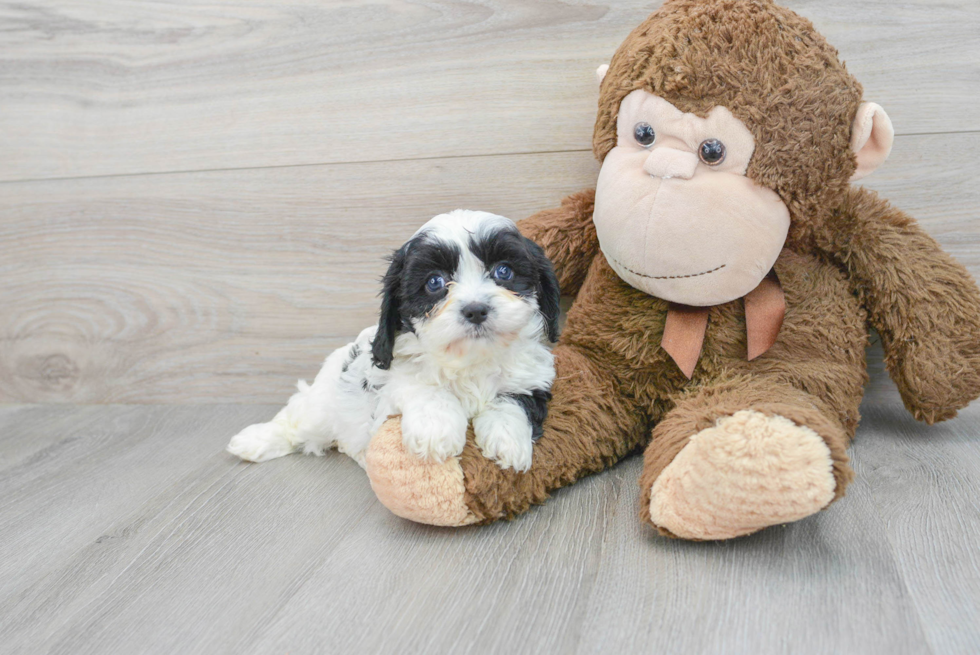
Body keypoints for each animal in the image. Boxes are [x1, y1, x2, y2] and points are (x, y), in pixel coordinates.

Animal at [224, 213, 560, 474]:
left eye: (504, 270)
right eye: (434, 282)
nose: (476, 310)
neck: (469, 359)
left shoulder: (533, 378)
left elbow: (513, 400)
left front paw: (508, 441)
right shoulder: (388, 375)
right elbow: (420, 384)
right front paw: (435, 429)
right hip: (322, 405)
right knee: (296, 419)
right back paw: (252, 441)